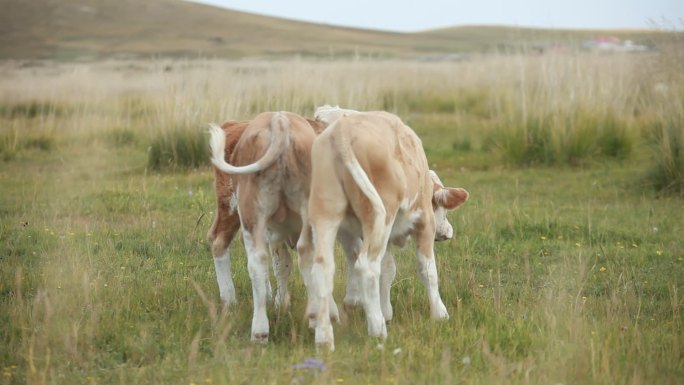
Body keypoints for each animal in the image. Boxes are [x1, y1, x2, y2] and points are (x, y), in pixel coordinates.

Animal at [310, 107, 470, 348]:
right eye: (443, 209)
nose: (448, 232)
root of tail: (342, 131)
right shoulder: (424, 222)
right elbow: (428, 270)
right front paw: (440, 314)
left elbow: (387, 270)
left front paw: (385, 310)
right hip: (380, 215)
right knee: (366, 266)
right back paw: (377, 329)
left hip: (327, 214)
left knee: (323, 267)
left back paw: (324, 337)